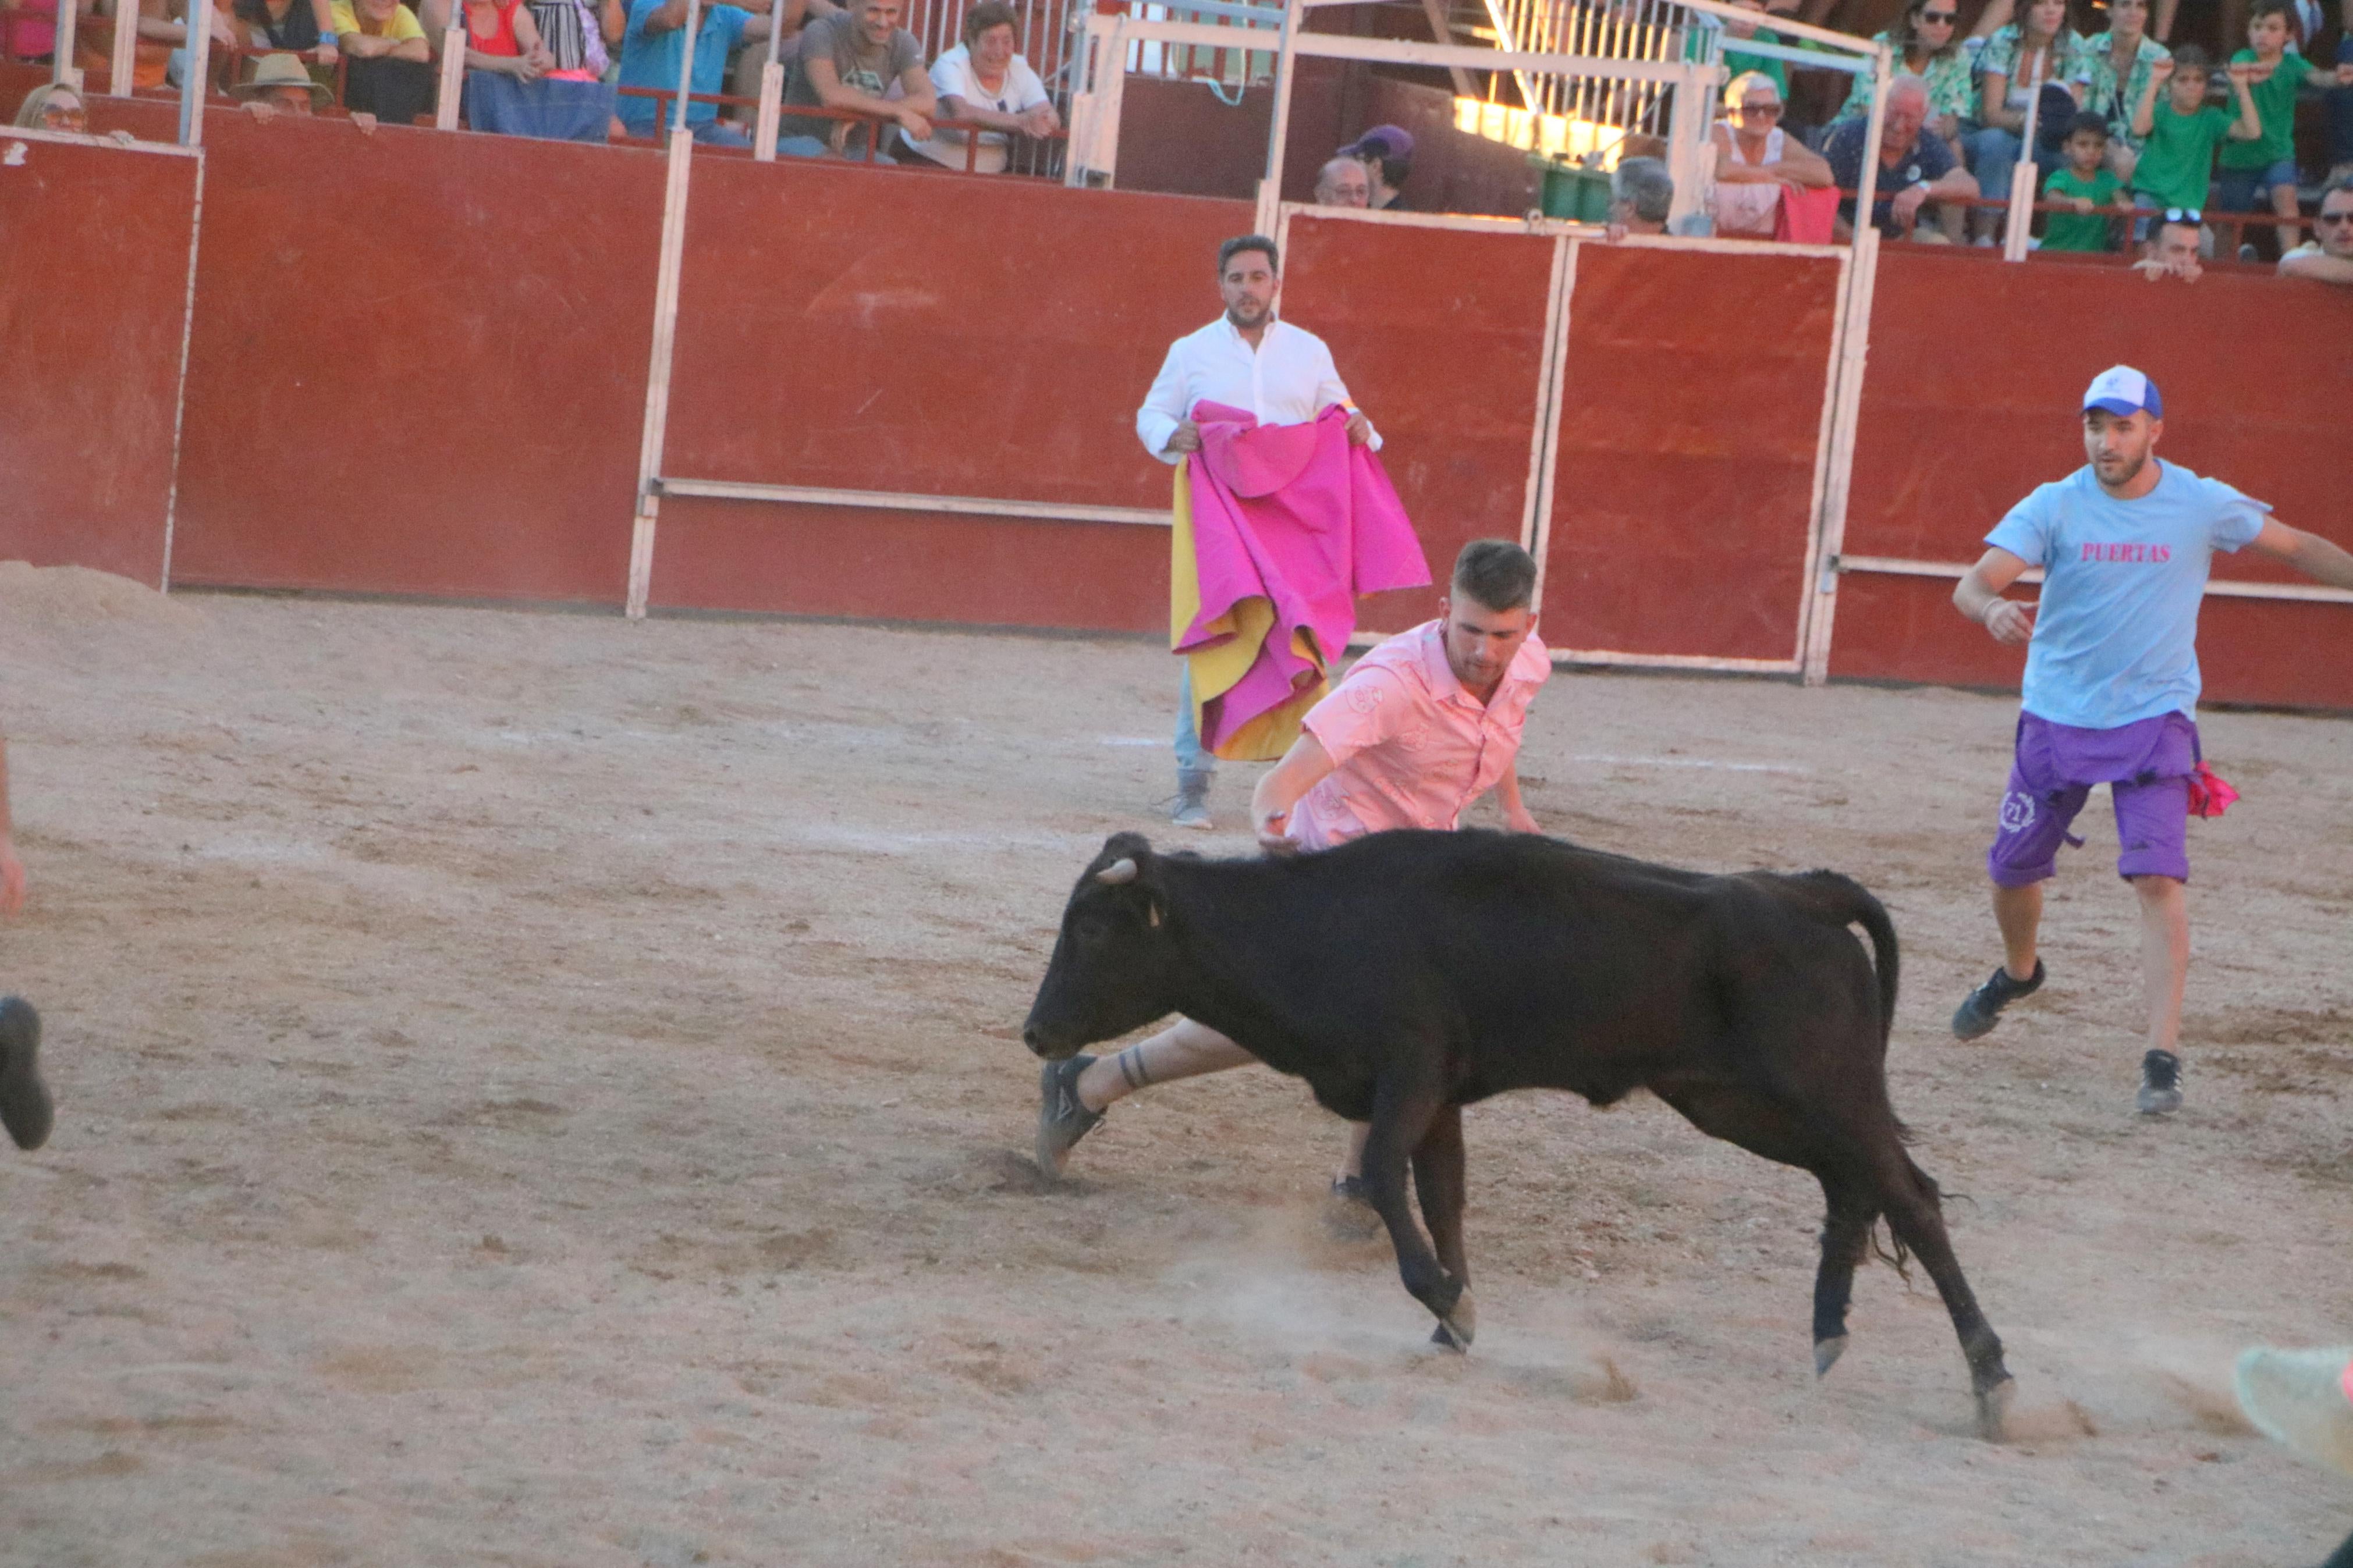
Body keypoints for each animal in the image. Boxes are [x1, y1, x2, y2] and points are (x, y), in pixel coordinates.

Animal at [1021, 832, 2014, 1438]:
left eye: (1091, 926)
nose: (1035, 1031)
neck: (1318, 922)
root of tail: (1806, 892)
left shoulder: (1410, 1072)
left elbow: (1384, 1175)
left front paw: (1444, 1302)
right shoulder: (1438, 1097)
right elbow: (1441, 1196)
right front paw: (1450, 1320)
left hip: (1821, 1092)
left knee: (1909, 1196)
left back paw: (1990, 1382)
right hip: (1739, 1102)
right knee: (1849, 1187)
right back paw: (1827, 1334)